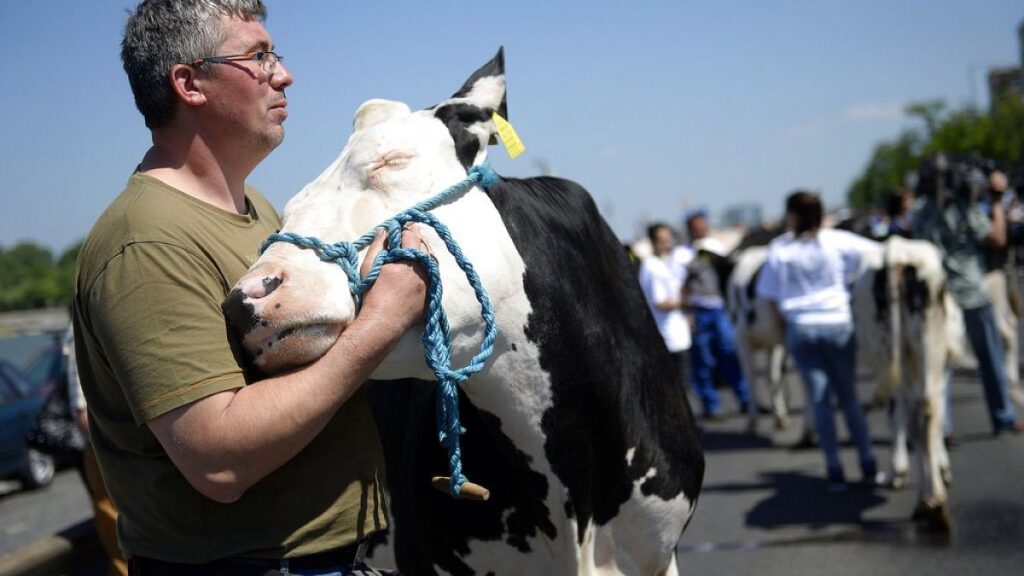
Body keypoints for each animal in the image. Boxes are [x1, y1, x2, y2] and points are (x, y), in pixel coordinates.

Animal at [847, 233, 958, 528]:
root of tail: (896, 250)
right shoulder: (941, 370)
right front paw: (942, 468)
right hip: (926, 346)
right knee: (925, 412)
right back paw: (932, 502)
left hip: (891, 351)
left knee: (911, 414)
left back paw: (926, 501)